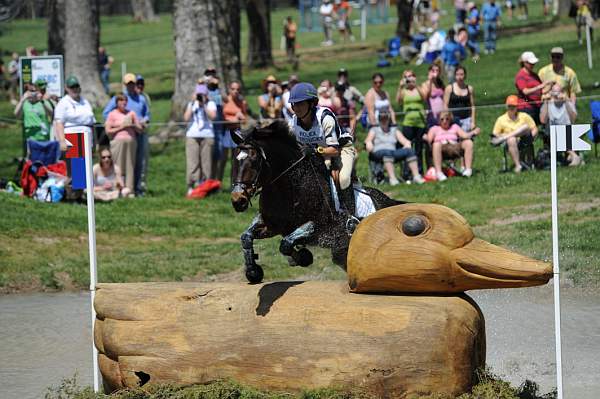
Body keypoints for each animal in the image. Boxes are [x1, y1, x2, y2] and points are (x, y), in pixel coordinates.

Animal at [230, 119, 404, 284]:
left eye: (254, 161)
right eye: (234, 160)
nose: (238, 200)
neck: (290, 185)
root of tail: (390, 202)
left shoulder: (320, 227)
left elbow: (286, 243)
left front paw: (302, 257)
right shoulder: (272, 225)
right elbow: (246, 237)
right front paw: (253, 271)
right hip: (342, 252)